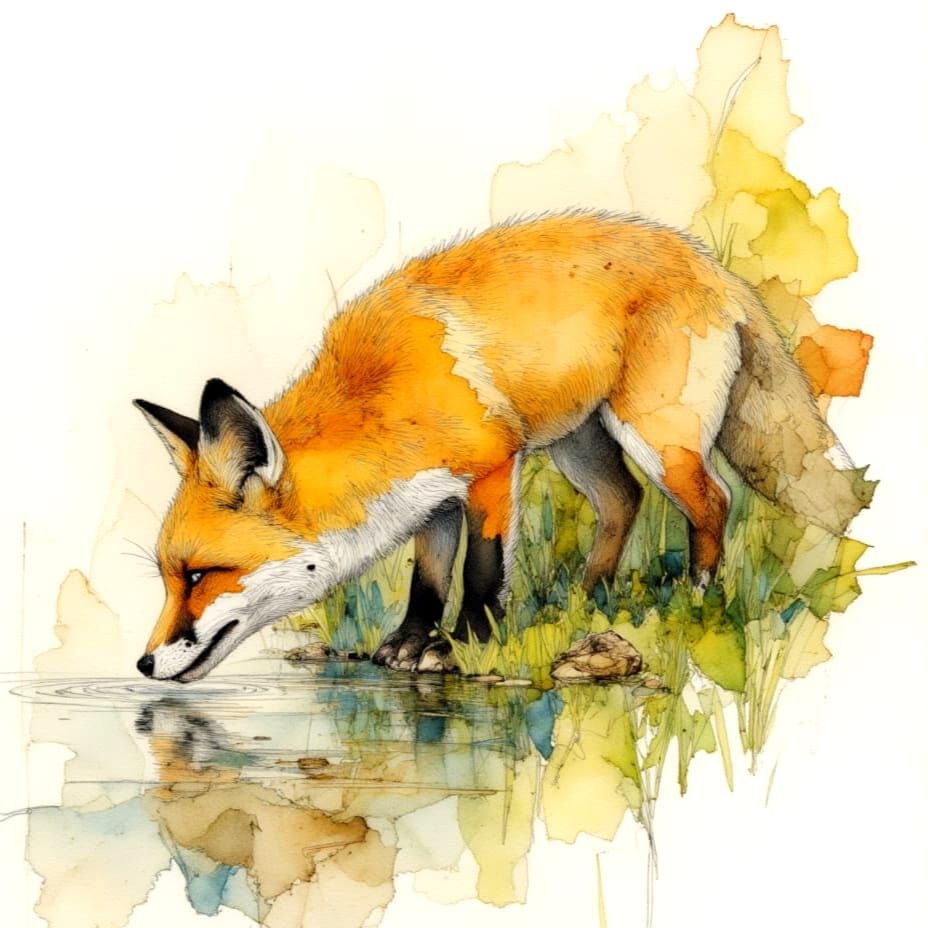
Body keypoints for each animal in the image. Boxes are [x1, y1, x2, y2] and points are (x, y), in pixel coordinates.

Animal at [133, 211, 873, 682]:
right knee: (623, 501)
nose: (142, 663)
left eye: (199, 575)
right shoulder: (431, 499)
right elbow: (428, 580)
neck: (379, 392)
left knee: (715, 504)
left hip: (658, 437)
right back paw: (586, 599)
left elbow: (483, 569)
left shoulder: (492, 467)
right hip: (581, 442)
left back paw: (696, 599)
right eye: (169, 577)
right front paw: (409, 644)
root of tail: (713, 266)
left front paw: (465, 646)